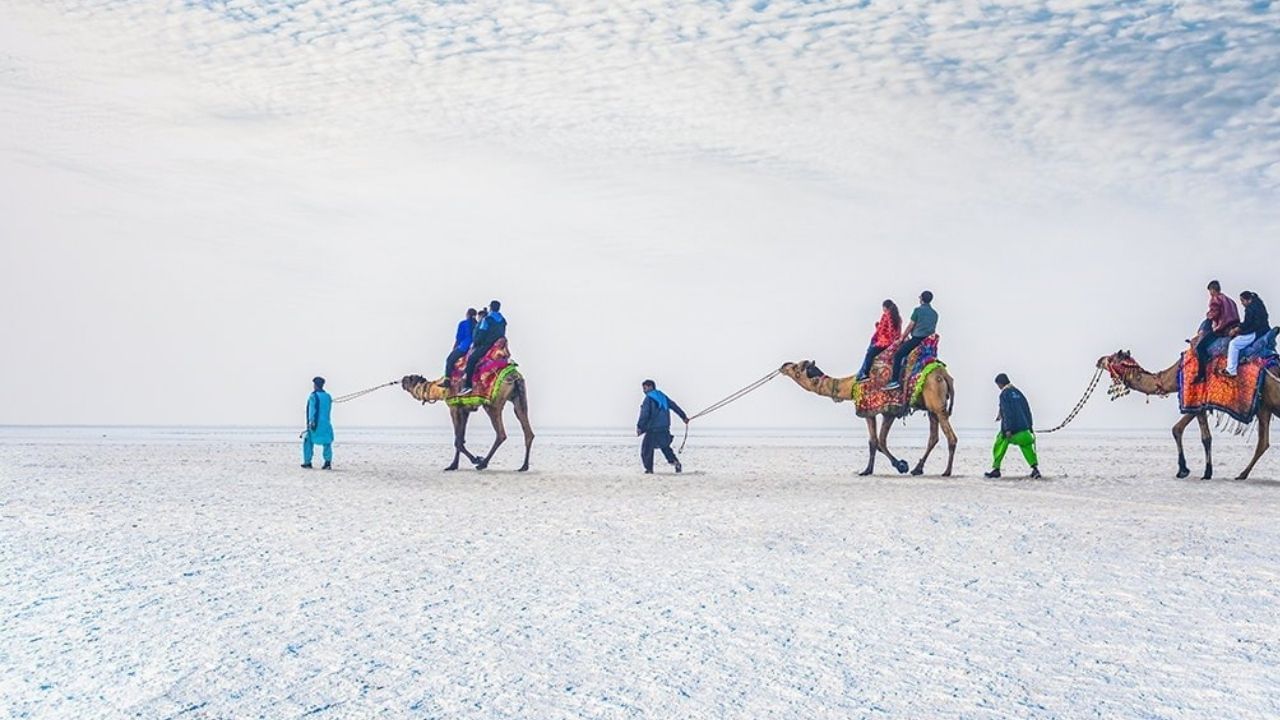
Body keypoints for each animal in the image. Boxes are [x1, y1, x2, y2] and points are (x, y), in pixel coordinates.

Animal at [404, 368, 535, 471]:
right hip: (519, 399)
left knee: (501, 434)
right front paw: (453, 465)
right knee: (528, 432)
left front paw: (476, 459)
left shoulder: (454, 408)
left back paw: (483, 464)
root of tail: (515, 378)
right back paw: (524, 467)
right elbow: (460, 438)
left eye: (410, 378)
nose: (403, 379)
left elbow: (457, 440)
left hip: (492, 404)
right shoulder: (464, 410)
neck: (441, 389)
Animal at [773, 358, 957, 476]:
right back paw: (918, 469)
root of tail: (945, 375)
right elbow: (876, 441)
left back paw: (946, 472)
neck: (852, 384)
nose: (784, 365)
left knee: (951, 437)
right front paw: (873, 469)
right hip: (931, 408)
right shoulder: (883, 412)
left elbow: (877, 441)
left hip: (937, 404)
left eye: (796, 367)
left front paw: (899, 466)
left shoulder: (877, 409)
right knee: (933, 437)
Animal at [1095, 351, 1274, 479]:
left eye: (1112, 358)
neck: (1174, 375)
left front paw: (1192, 471)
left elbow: (1201, 436)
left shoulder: (1194, 397)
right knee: (1263, 441)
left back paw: (1243, 474)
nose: (1099, 360)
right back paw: (1243, 474)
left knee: (1262, 441)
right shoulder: (1196, 402)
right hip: (1265, 407)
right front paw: (1195, 470)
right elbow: (1182, 430)